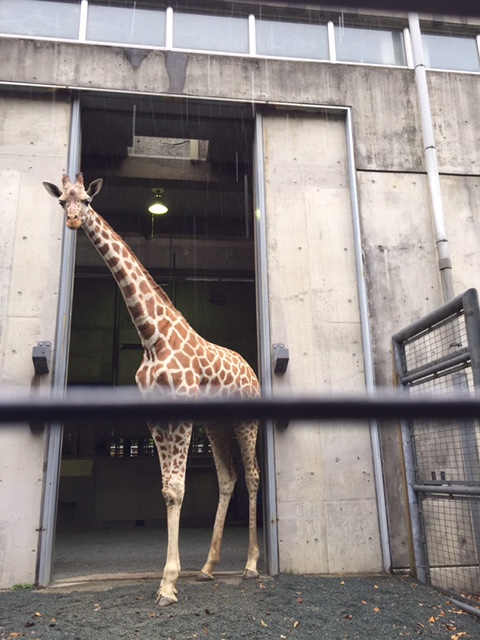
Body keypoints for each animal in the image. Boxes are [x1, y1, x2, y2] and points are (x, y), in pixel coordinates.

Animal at [43, 174, 260, 604]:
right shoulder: (156, 419)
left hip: (246, 421)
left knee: (254, 475)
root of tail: (254, 372)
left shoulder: (180, 415)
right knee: (229, 478)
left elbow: (176, 489)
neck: (151, 337)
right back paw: (208, 568)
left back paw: (251, 566)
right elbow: (166, 491)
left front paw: (168, 584)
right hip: (217, 425)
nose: (74, 220)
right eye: (62, 201)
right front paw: (172, 580)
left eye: (87, 200)